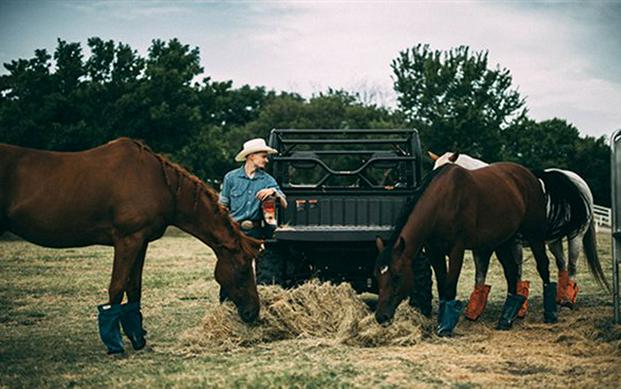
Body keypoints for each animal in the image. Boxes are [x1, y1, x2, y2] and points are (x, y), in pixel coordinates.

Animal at [0, 138, 262, 354]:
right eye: (242, 269)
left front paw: (137, 338)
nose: (253, 313)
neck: (157, 182)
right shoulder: (127, 240)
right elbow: (117, 288)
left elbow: (134, 288)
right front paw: (114, 342)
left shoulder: (141, 241)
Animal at [372, 162, 556, 334]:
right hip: (503, 241)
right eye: (377, 277)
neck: (442, 201)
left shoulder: (456, 250)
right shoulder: (434, 252)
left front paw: (445, 328)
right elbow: (442, 286)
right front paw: (441, 322)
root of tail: (531, 176)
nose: (381, 317)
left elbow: (450, 286)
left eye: (397, 276)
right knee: (511, 272)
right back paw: (506, 319)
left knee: (543, 266)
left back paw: (550, 315)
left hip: (535, 235)